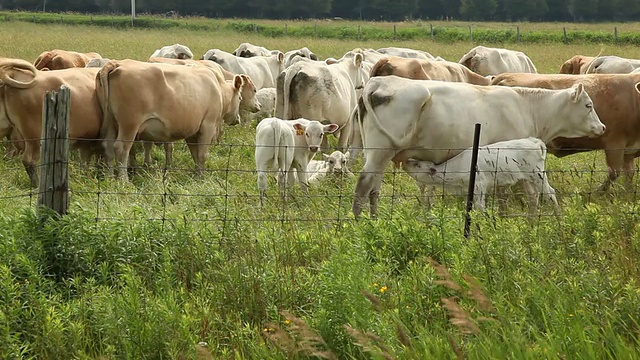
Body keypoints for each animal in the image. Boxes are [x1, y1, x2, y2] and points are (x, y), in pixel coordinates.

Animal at [96, 60, 254, 183]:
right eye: (240, 98)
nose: (237, 119)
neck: (217, 88)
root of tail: (117, 64)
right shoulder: (207, 125)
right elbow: (202, 154)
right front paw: (202, 178)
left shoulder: (192, 131)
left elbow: (195, 153)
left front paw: (197, 174)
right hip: (130, 124)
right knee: (121, 149)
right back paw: (124, 181)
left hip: (111, 123)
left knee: (108, 147)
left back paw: (110, 178)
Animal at [404, 137, 560, 217]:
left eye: (417, 165)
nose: (406, 162)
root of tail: (533, 141)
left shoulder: (479, 185)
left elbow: (480, 207)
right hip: (526, 178)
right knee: (534, 196)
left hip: (537, 174)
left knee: (550, 193)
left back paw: (558, 217)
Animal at [492, 72, 640, 191]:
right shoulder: (615, 143)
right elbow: (614, 172)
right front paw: (599, 192)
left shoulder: (629, 150)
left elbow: (629, 174)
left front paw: (627, 193)